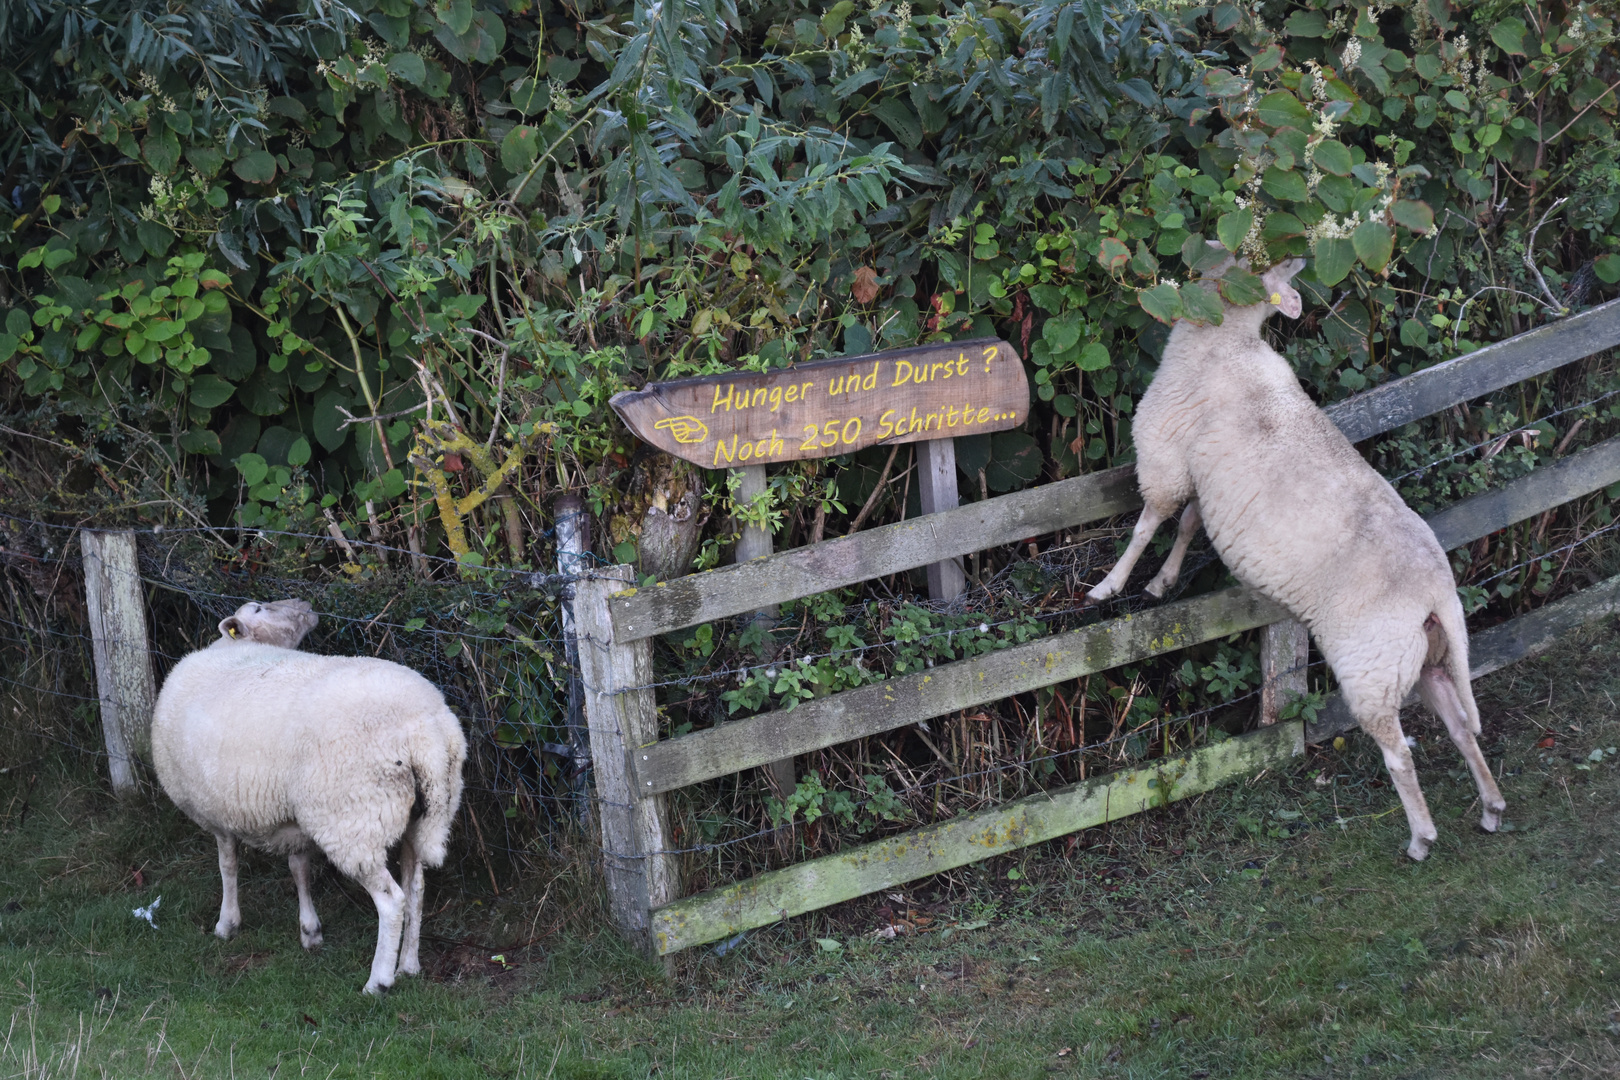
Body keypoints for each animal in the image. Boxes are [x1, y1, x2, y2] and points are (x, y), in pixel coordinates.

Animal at [150, 599, 469, 997]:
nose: (304, 605)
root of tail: (424, 730)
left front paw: (227, 924)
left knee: (391, 901)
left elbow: (228, 865)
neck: (232, 648)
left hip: (353, 821)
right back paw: (409, 964)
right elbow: (299, 868)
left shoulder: (217, 812)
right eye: (260, 607)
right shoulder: (295, 818)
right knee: (415, 888)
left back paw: (378, 980)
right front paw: (310, 931)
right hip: (423, 812)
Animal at [1082, 254, 1509, 861]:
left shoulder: (1168, 458)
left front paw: (1111, 585)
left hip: (1370, 669)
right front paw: (1163, 582)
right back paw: (1491, 808)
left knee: (1400, 753)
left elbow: (1149, 524)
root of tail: (1437, 594)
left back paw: (1420, 839)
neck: (1229, 340)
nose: (1191, 264)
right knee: (1460, 728)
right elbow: (1187, 526)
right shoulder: (1208, 480)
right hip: (1428, 658)